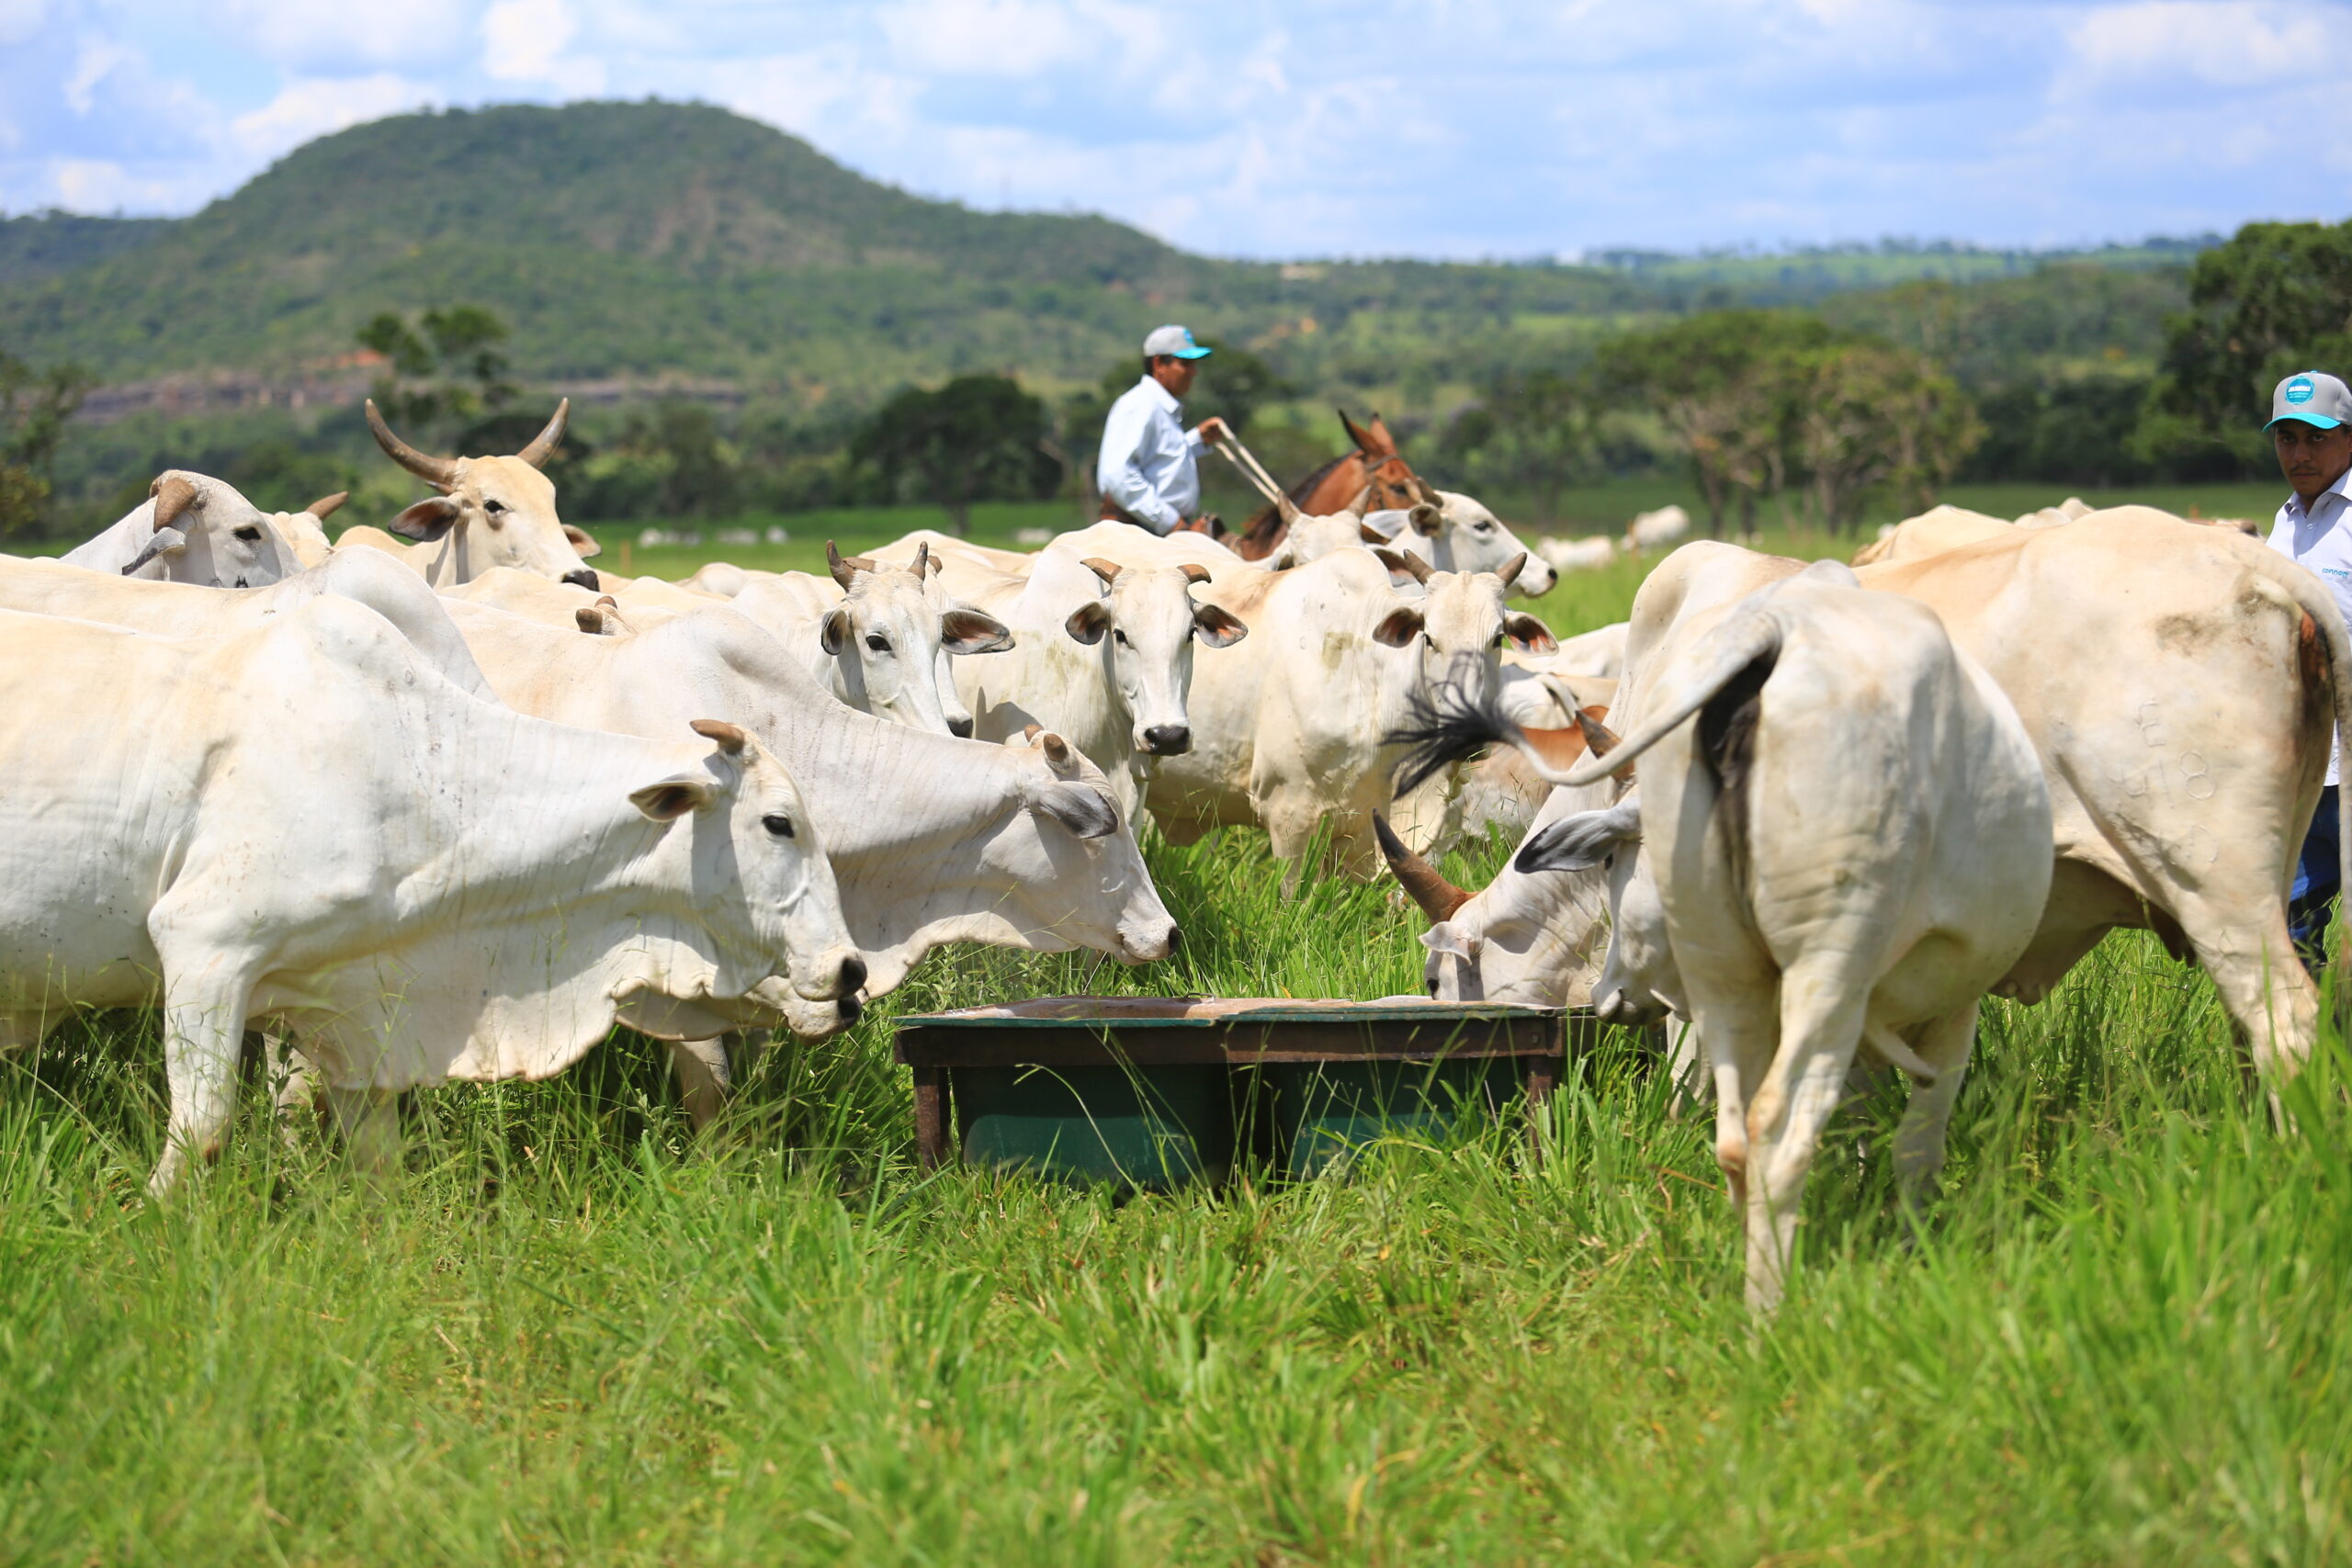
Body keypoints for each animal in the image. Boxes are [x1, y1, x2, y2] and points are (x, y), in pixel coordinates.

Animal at [0, 597, 860, 1189]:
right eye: (779, 823)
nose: (851, 971)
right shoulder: (205, 948)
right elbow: (202, 1129)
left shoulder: (349, 1012)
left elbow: (377, 1162)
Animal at [1514, 564, 2051, 1316]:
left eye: (1614, 859)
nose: (1605, 993)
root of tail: (1774, 628)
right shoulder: (1952, 1008)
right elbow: (1918, 1144)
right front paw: (1912, 1242)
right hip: (1831, 966)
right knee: (1777, 1133)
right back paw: (1770, 1315)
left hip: (1728, 979)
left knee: (1737, 1138)